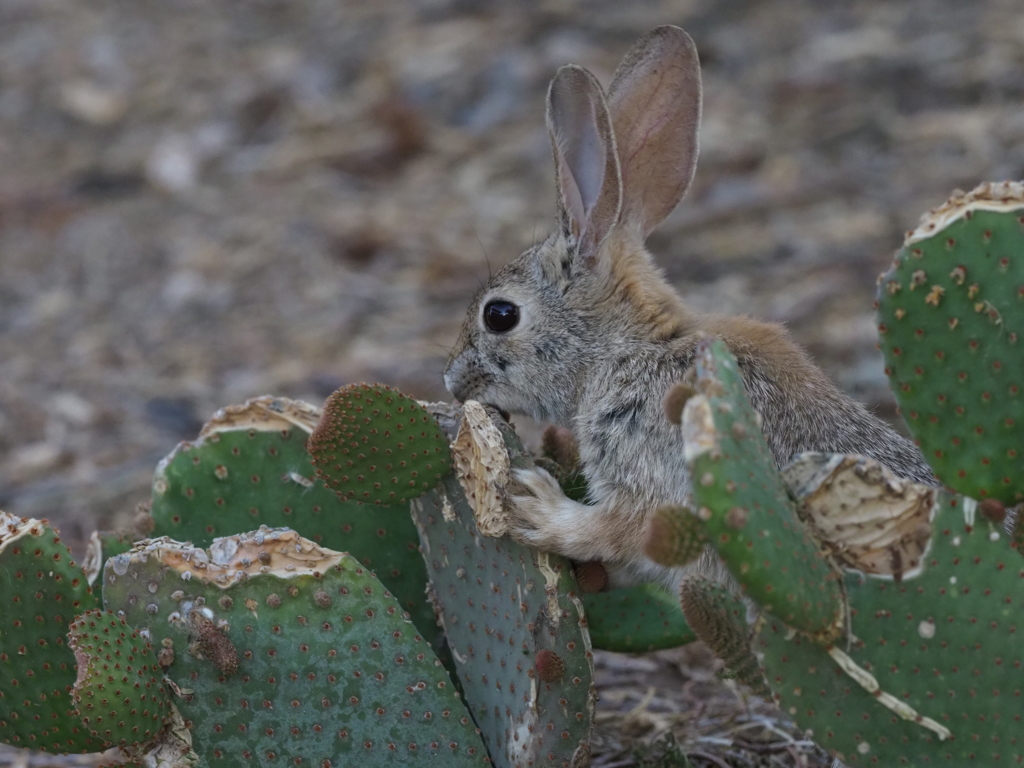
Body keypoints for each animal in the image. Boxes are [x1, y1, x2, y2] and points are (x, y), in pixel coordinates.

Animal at [440, 22, 937, 589]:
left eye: (499, 314)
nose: (451, 381)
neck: (627, 348)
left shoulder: (653, 475)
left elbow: (615, 529)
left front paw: (532, 503)